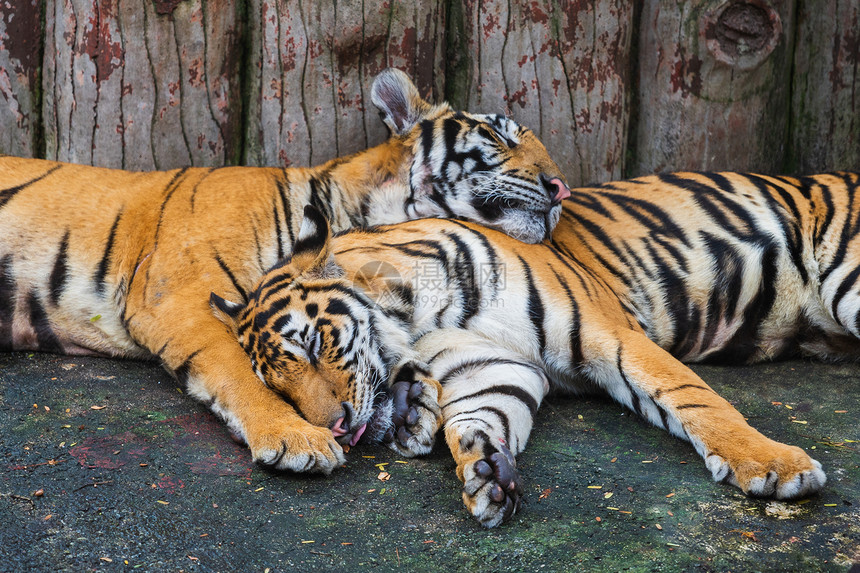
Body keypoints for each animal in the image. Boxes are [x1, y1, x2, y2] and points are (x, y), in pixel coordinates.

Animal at [0, 67, 572, 474]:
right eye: (497, 134)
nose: (561, 187)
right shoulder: (177, 296)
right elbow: (235, 368)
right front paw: (296, 437)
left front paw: (413, 400)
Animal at [212, 189, 844, 528]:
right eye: (279, 388)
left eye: (313, 344)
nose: (338, 430)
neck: (415, 318)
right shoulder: (494, 365)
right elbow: (483, 415)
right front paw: (485, 470)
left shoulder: (611, 334)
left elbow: (693, 398)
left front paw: (774, 466)